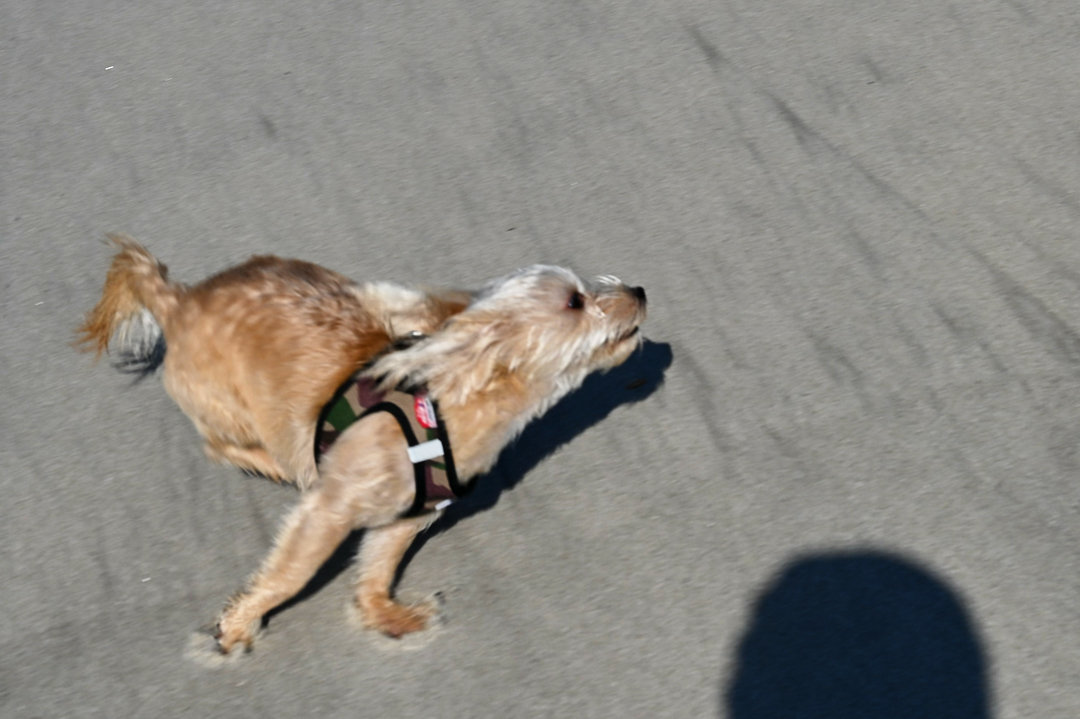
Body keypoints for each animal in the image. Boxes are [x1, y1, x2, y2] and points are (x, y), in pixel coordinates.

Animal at [79, 234, 648, 647]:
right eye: (575, 302)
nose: (639, 292)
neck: (446, 403)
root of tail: (177, 298)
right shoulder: (329, 512)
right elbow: (290, 575)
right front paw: (240, 622)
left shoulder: (405, 518)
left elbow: (377, 569)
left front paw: (384, 613)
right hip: (229, 408)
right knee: (220, 445)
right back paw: (281, 465)